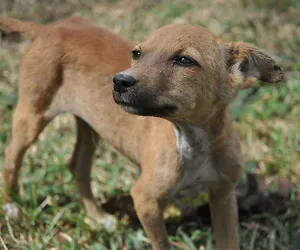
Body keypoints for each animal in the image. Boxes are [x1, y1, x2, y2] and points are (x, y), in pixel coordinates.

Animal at [0, 16, 284, 249]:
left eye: (185, 60)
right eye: (136, 54)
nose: (119, 81)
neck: (191, 139)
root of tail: (47, 28)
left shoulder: (224, 195)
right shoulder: (145, 200)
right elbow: (162, 245)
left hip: (90, 124)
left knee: (78, 165)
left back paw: (98, 217)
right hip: (33, 113)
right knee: (12, 155)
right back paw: (11, 205)